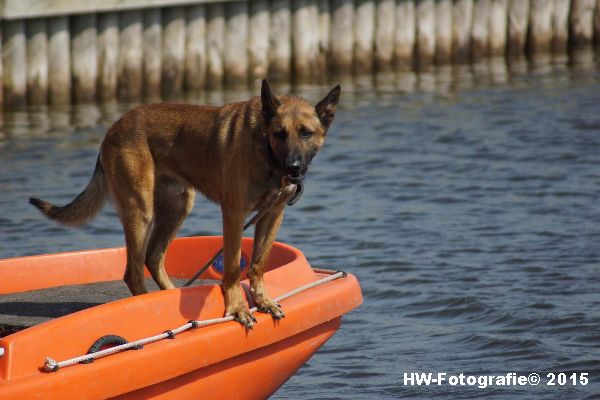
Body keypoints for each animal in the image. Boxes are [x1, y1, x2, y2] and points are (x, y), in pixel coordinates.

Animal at [30, 80, 340, 328]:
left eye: (306, 133)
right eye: (280, 134)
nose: (294, 167)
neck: (266, 151)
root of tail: (114, 127)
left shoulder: (272, 215)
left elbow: (258, 263)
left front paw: (263, 300)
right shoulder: (234, 215)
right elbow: (232, 266)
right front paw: (237, 307)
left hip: (178, 206)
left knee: (153, 257)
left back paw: (167, 295)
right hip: (141, 210)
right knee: (133, 272)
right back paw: (147, 305)